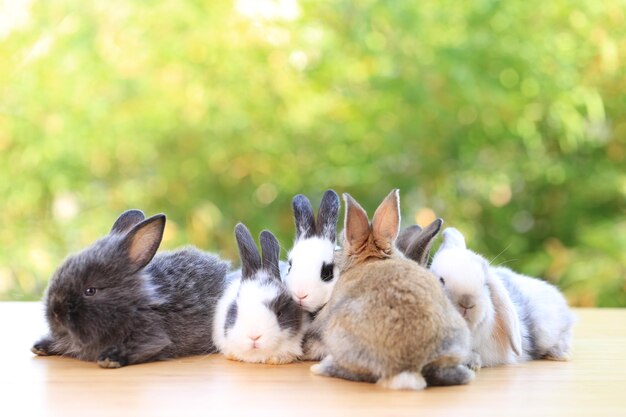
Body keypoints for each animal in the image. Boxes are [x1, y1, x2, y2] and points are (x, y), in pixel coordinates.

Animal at [31, 210, 229, 366]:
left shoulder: (152, 338)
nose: (56, 313)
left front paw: (109, 359)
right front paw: (40, 347)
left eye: (90, 291)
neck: (133, 306)